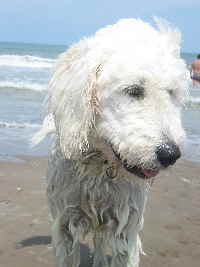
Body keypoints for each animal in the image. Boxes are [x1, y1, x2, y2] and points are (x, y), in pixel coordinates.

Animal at [36, 18, 189, 267]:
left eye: (172, 92)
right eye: (134, 90)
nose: (170, 154)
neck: (101, 167)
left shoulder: (126, 229)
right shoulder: (64, 225)